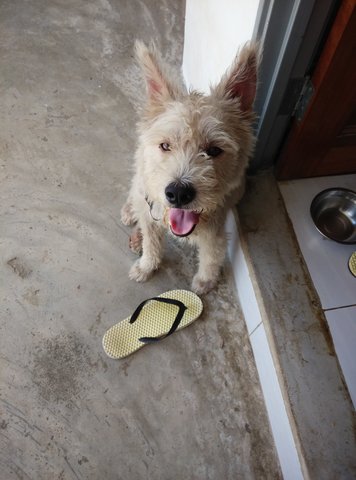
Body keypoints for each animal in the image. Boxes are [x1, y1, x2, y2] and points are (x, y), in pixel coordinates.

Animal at [121, 41, 258, 294]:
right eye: (165, 145)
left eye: (214, 150)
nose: (178, 193)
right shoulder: (152, 211)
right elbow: (152, 241)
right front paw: (146, 266)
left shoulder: (214, 231)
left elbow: (211, 256)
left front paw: (204, 282)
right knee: (137, 192)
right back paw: (130, 213)